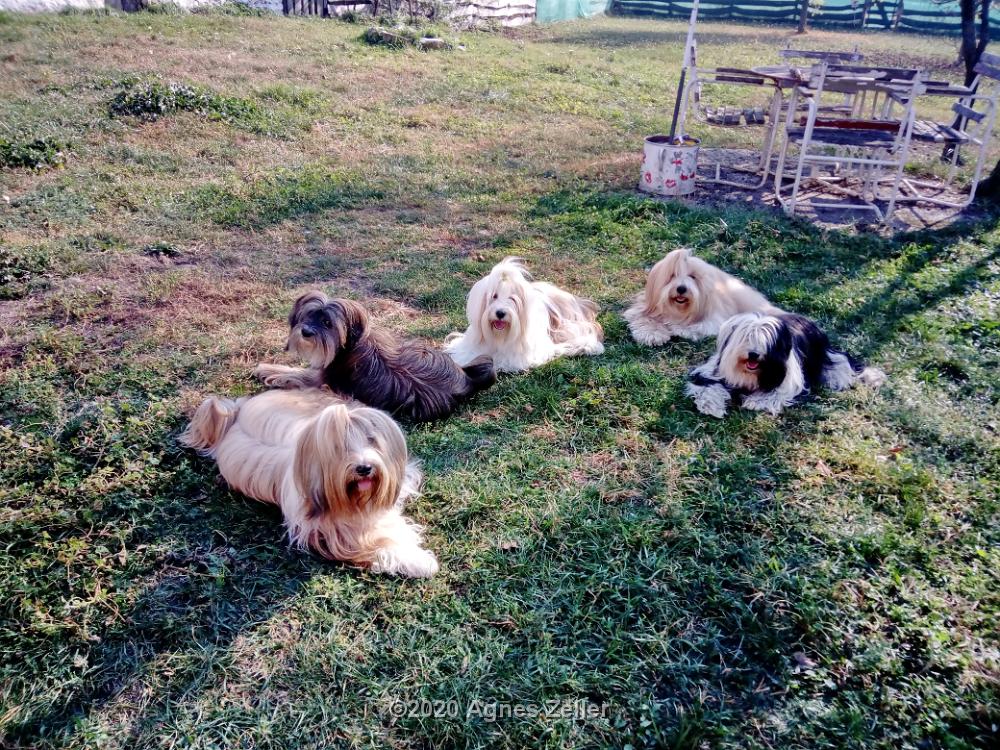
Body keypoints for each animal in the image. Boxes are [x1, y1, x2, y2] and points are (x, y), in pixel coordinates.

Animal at [180, 390, 438, 580]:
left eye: (371, 440)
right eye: (340, 447)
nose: (364, 468)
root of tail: (236, 412)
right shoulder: (333, 533)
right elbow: (377, 541)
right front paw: (420, 561)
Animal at [254, 292, 496, 424]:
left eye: (327, 323)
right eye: (308, 315)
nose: (305, 332)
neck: (349, 344)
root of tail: (467, 380)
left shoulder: (325, 378)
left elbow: (300, 374)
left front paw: (268, 370)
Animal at [624, 247, 780, 346]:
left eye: (692, 276)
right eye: (672, 275)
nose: (681, 288)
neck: (678, 310)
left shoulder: (712, 318)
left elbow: (697, 326)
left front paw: (677, 327)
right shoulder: (645, 308)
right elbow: (644, 319)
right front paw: (653, 334)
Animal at [684, 312, 888, 418]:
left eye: (766, 342)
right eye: (746, 337)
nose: (754, 354)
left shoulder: (788, 381)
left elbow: (776, 393)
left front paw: (755, 401)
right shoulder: (711, 372)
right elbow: (708, 387)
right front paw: (711, 406)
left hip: (825, 356)